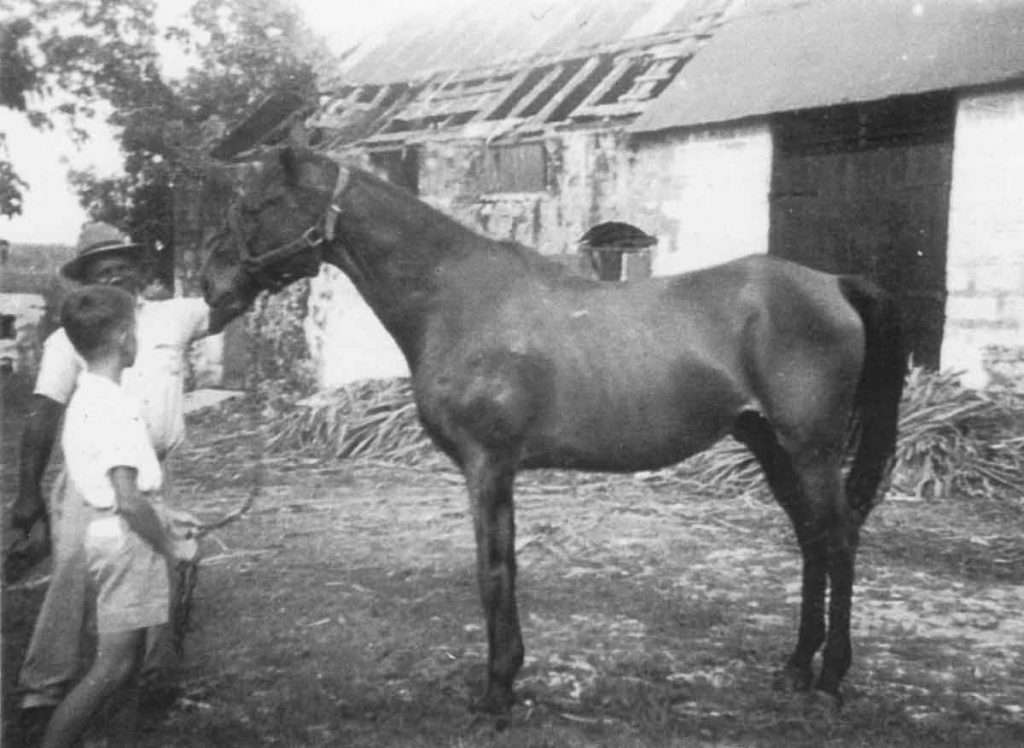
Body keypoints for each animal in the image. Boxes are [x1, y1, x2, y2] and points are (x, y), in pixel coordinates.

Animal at [200, 145, 906, 713]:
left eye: (257, 205)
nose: (211, 285)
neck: (455, 297)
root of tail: (834, 284)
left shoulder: (488, 464)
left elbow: (493, 569)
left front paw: (496, 690)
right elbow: (504, 565)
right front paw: (506, 677)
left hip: (810, 447)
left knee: (838, 540)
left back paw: (830, 678)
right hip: (769, 443)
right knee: (813, 540)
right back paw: (795, 668)